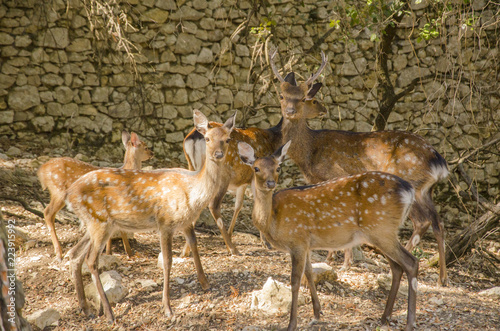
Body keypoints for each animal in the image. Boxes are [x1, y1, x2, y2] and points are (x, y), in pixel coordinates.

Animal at [37, 131, 152, 260]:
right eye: (146, 147)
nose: (152, 154)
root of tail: (41, 170)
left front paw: (115, 252)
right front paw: (121, 253)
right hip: (59, 191)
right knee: (48, 213)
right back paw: (59, 252)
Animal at [65, 110, 236, 322]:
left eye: (228, 139)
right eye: (207, 138)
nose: (218, 154)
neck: (193, 193)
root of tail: (69, 194)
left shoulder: (186, 222)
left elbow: (194, 246)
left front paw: (205, 283)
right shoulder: (165, 222)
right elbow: (168, 261)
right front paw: (168, 308)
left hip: (96, 222)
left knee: (74, 254)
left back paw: (86, 308)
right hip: (100, 221)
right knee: (90, 260)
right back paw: (109, 313)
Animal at [181, 85, 328, 256]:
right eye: (313, 100)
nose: (324, 110)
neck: (272, 138)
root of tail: (194, 137)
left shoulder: (242, 180)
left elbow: (238, 205)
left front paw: (230, 234)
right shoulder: (255, 175)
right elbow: (255, 201)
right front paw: (265, 242)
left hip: (192, 167)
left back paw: (186, 250)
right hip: (222, 174)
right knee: (213, 205)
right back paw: (233, 249)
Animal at [237, 143, 418, 331]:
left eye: (278, 167)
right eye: (256, 168)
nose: (270, 183)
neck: (273, 220)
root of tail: (409, 190)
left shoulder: (297, 240)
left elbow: (295, 281)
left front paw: (292, 324)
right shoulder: (306, 244)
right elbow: (309, 273)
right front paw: (316, 314)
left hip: (381, 229)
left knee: (411, 262)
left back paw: (409, 322)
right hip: (381, 233)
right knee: (396, 267)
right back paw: (385, 317)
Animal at [272, 50, 452, 286]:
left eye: (304, 98)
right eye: (282, 96)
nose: (291, 110)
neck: (309, 152)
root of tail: (438, 161)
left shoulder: (334, 176)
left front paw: (340, 260)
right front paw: (337, 258)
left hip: (410, 182)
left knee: (422, 222)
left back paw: (392, 265)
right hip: (426, 189)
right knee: (438, 222)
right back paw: (442, 277)